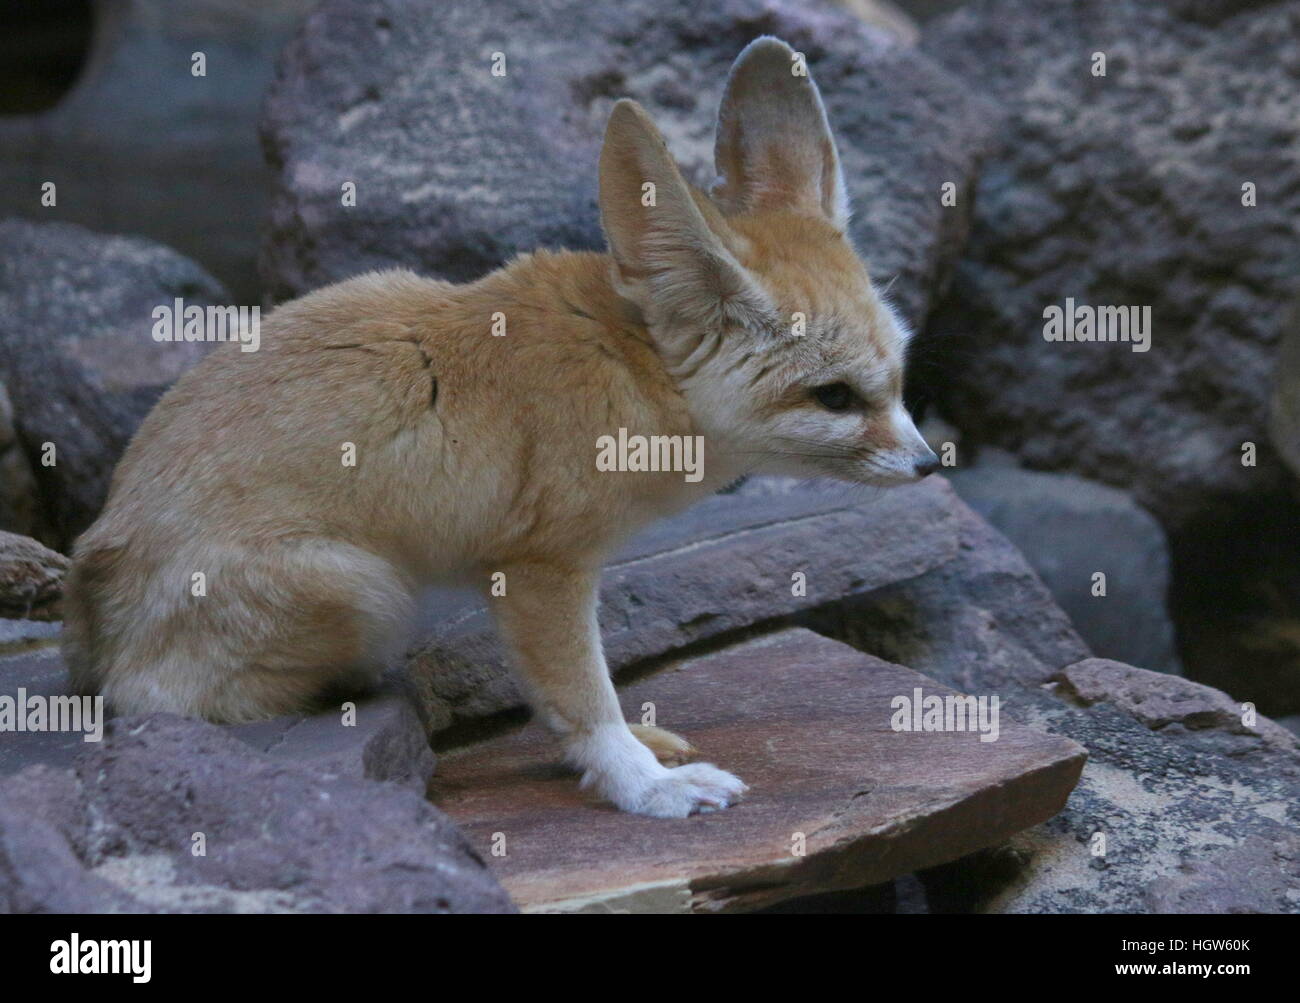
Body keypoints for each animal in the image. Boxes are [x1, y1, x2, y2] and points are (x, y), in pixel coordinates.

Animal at [65, 41, 935, 821]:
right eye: (834, 397)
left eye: (899, 374)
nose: (930, 463)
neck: (636, 368)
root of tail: (89, 589)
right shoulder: (539, 567)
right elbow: (583, 694)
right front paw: (642, 785)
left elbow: (568, 694)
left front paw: (639, 752)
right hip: (368, 587)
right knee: (174, 700)